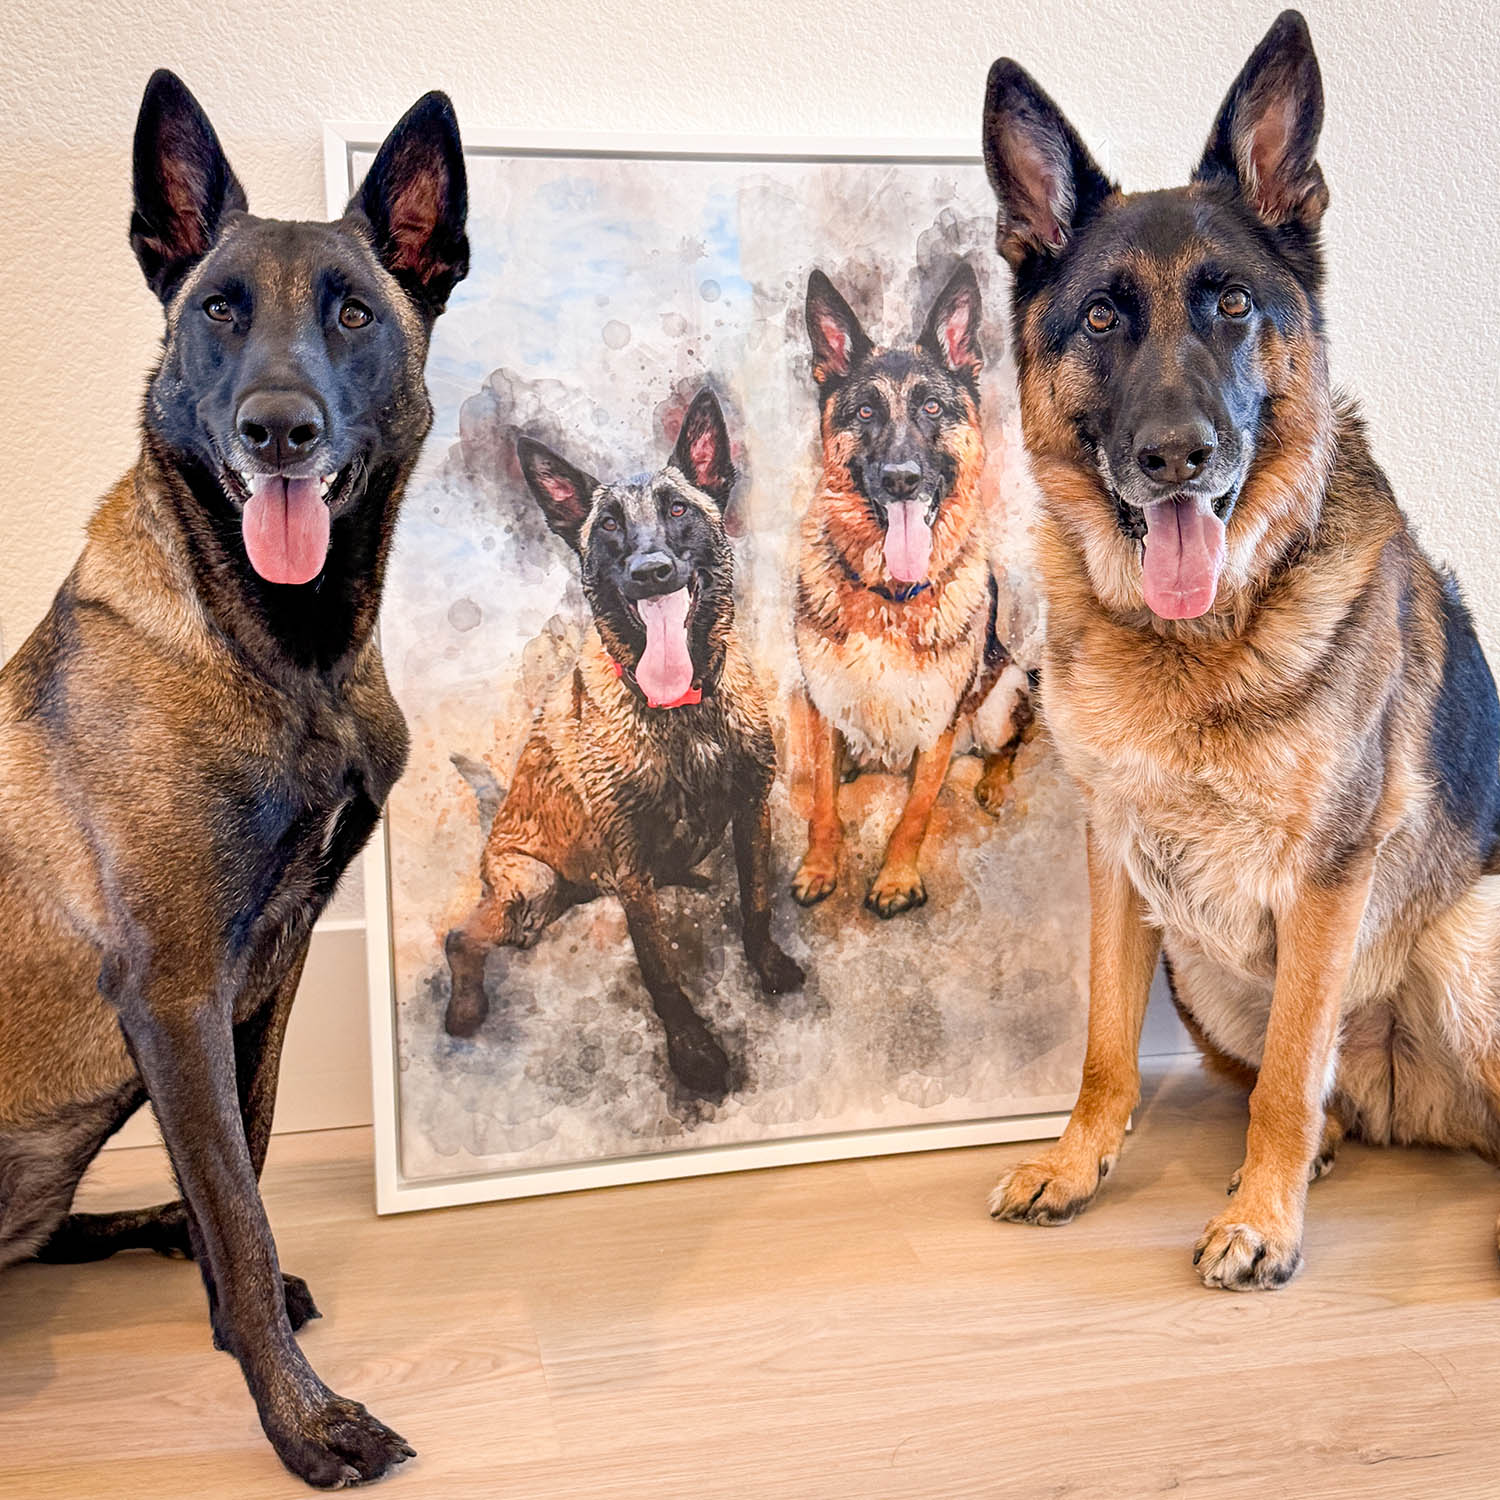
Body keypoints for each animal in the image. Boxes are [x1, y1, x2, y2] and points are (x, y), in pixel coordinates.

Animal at [0, 72, 467, 1482]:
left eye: (354, 312)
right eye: (218, 310)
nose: (278, 431)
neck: (285, 652)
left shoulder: (265, 970)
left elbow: (245, 1175)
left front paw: (226, 1315)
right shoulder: (172, 990)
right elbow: (245, 1214)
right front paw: (305, 1421)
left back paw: (144, 1222)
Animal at [442, 387, 805, 1102]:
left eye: (677, 510)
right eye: (608, 525)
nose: (651, 571)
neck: (683, 711)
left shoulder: (751, 810)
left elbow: (756, 902)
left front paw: (768, 964)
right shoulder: (630, 862)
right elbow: (660, 969)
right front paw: (694, 1051)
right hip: (528, 884)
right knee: (460, 937)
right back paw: (465, 1007)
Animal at [792, 263, 1034, 917]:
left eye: (930, 407)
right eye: (864, 412)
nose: (902, 480)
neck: (887, 597)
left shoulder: (940, 725)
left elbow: (915, 814)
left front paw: (896, 878)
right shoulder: (819, 705)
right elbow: (821, 803)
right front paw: (820, 865)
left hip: (1003, 694)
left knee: (1015, 739)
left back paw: (994, 784)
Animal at [982, 10, 1500, 1290]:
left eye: (1231, 308)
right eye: (1103, 318)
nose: (1177, 456)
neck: (1197, 639)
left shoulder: (1329, 877)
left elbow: (1287, 1078)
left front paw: (1264, 1217)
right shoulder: (1116, 859)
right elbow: (1106, 1049)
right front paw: (1076, 1164)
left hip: (1472, 935)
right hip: (1203, 973)